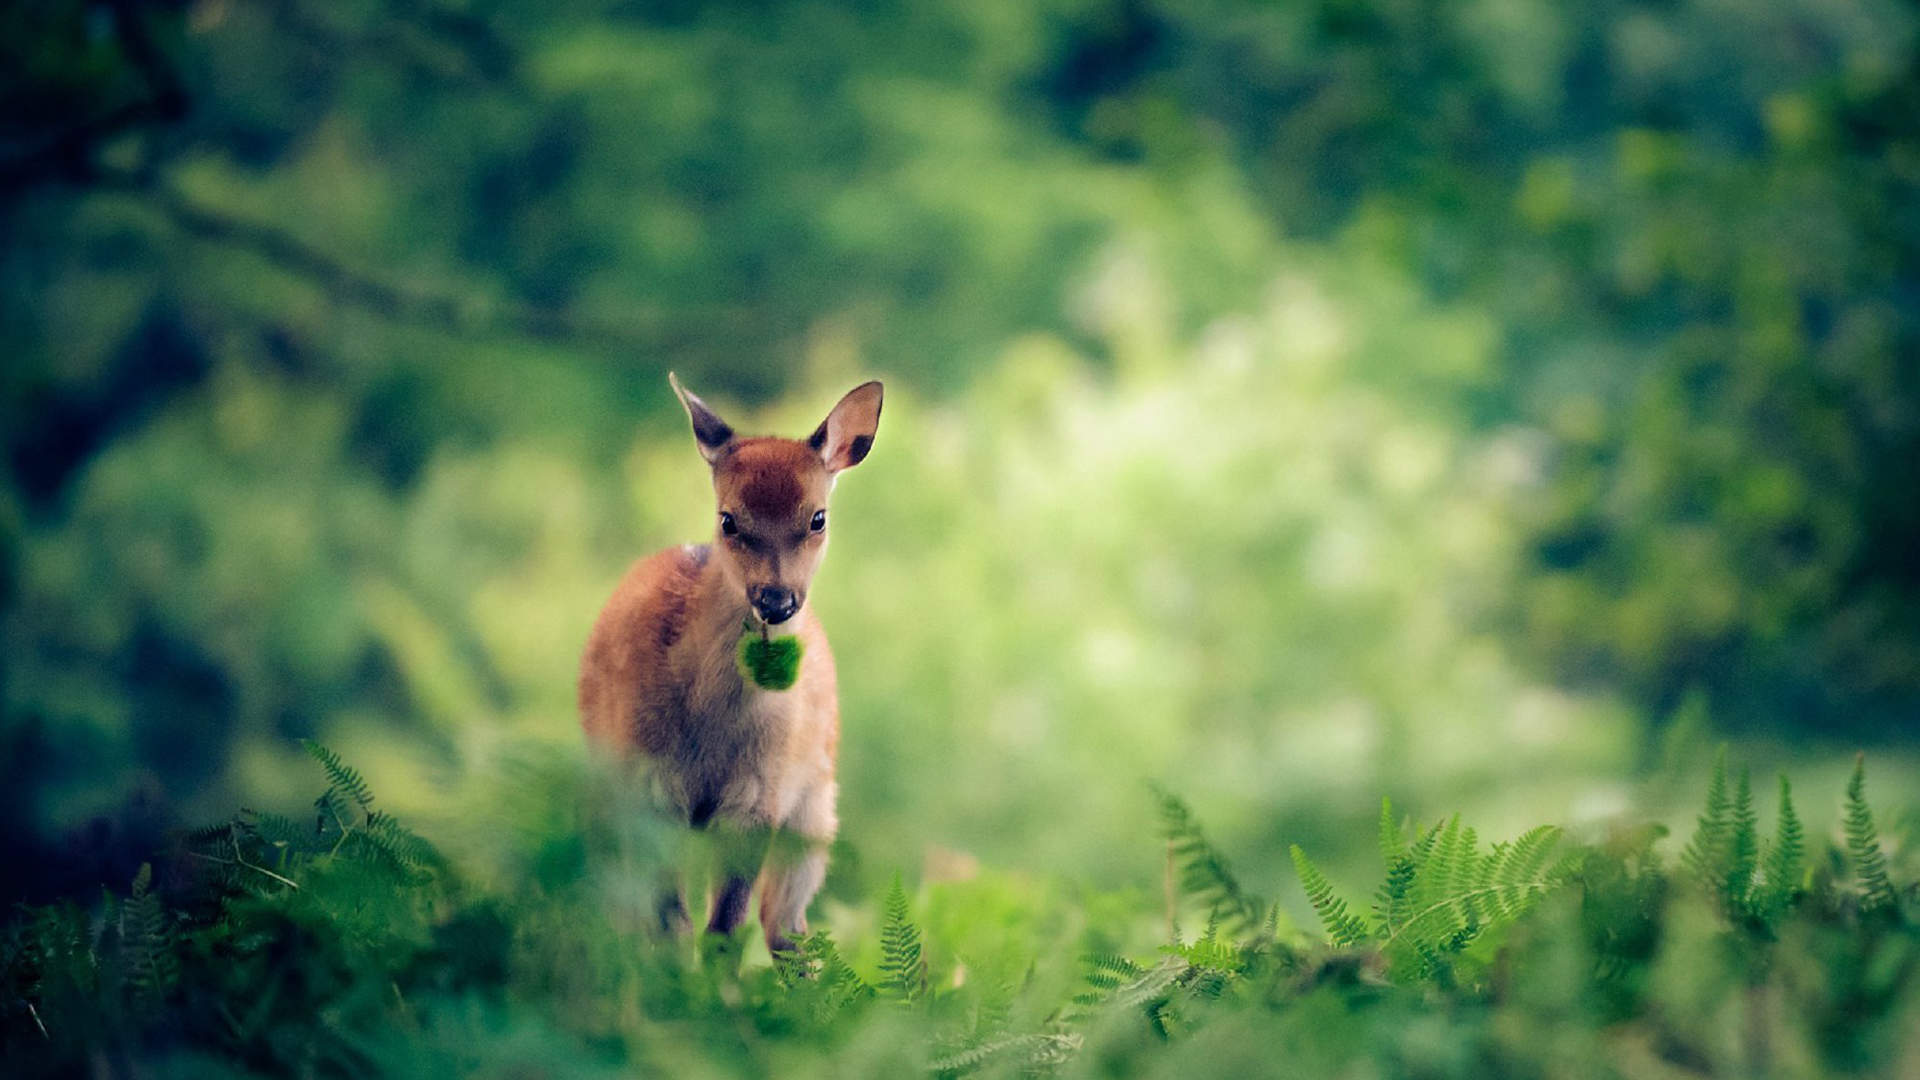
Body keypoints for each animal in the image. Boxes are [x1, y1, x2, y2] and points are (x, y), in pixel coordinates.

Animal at [578, 374, 882, 955]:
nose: (776, 599)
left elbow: (725, 926)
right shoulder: (650, 787)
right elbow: (671, 923)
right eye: (728, 519)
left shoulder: (762, 796)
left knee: (786, 927)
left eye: (818, 517)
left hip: (814, 812)